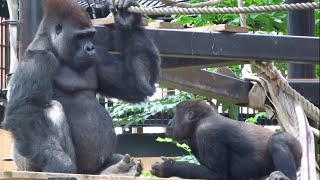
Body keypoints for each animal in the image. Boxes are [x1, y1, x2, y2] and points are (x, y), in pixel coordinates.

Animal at [0, 0, 159, 175]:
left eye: (90, 35)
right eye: (80, 36)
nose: (90, 48)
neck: (55, 48)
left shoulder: (99, 56)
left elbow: (136, 83)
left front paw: (128, 19)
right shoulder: (38, 58)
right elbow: (26, 109)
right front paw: (61, 164)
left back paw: (115, 169)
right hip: (25, 165)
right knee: (51, 109)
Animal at [151, 100, 302, 180]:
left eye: (175, 115)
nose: (169, 123)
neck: (199, 121)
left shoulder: (207, 132)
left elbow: (218, 174)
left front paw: (169, 168)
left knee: (277, 141)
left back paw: (286, 176)